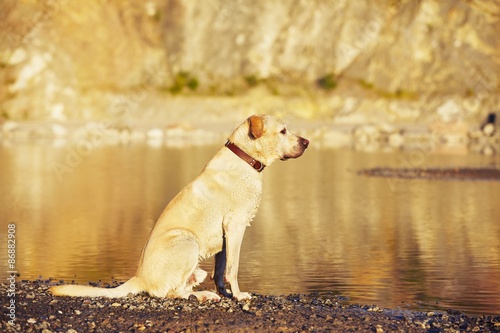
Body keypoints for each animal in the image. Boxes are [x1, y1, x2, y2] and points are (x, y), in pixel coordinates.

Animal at [50, 115, 308, 300]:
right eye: (283, 131)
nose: (307, 142)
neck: (244, 157)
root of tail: (138, 278)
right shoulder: (235, 226)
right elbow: (233, 267)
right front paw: (238, 295)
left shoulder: (225, 235)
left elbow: (220, 269)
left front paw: (225, 293)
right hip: (187, 241)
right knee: (170, 293)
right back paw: (201, 296)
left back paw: (205, 294)